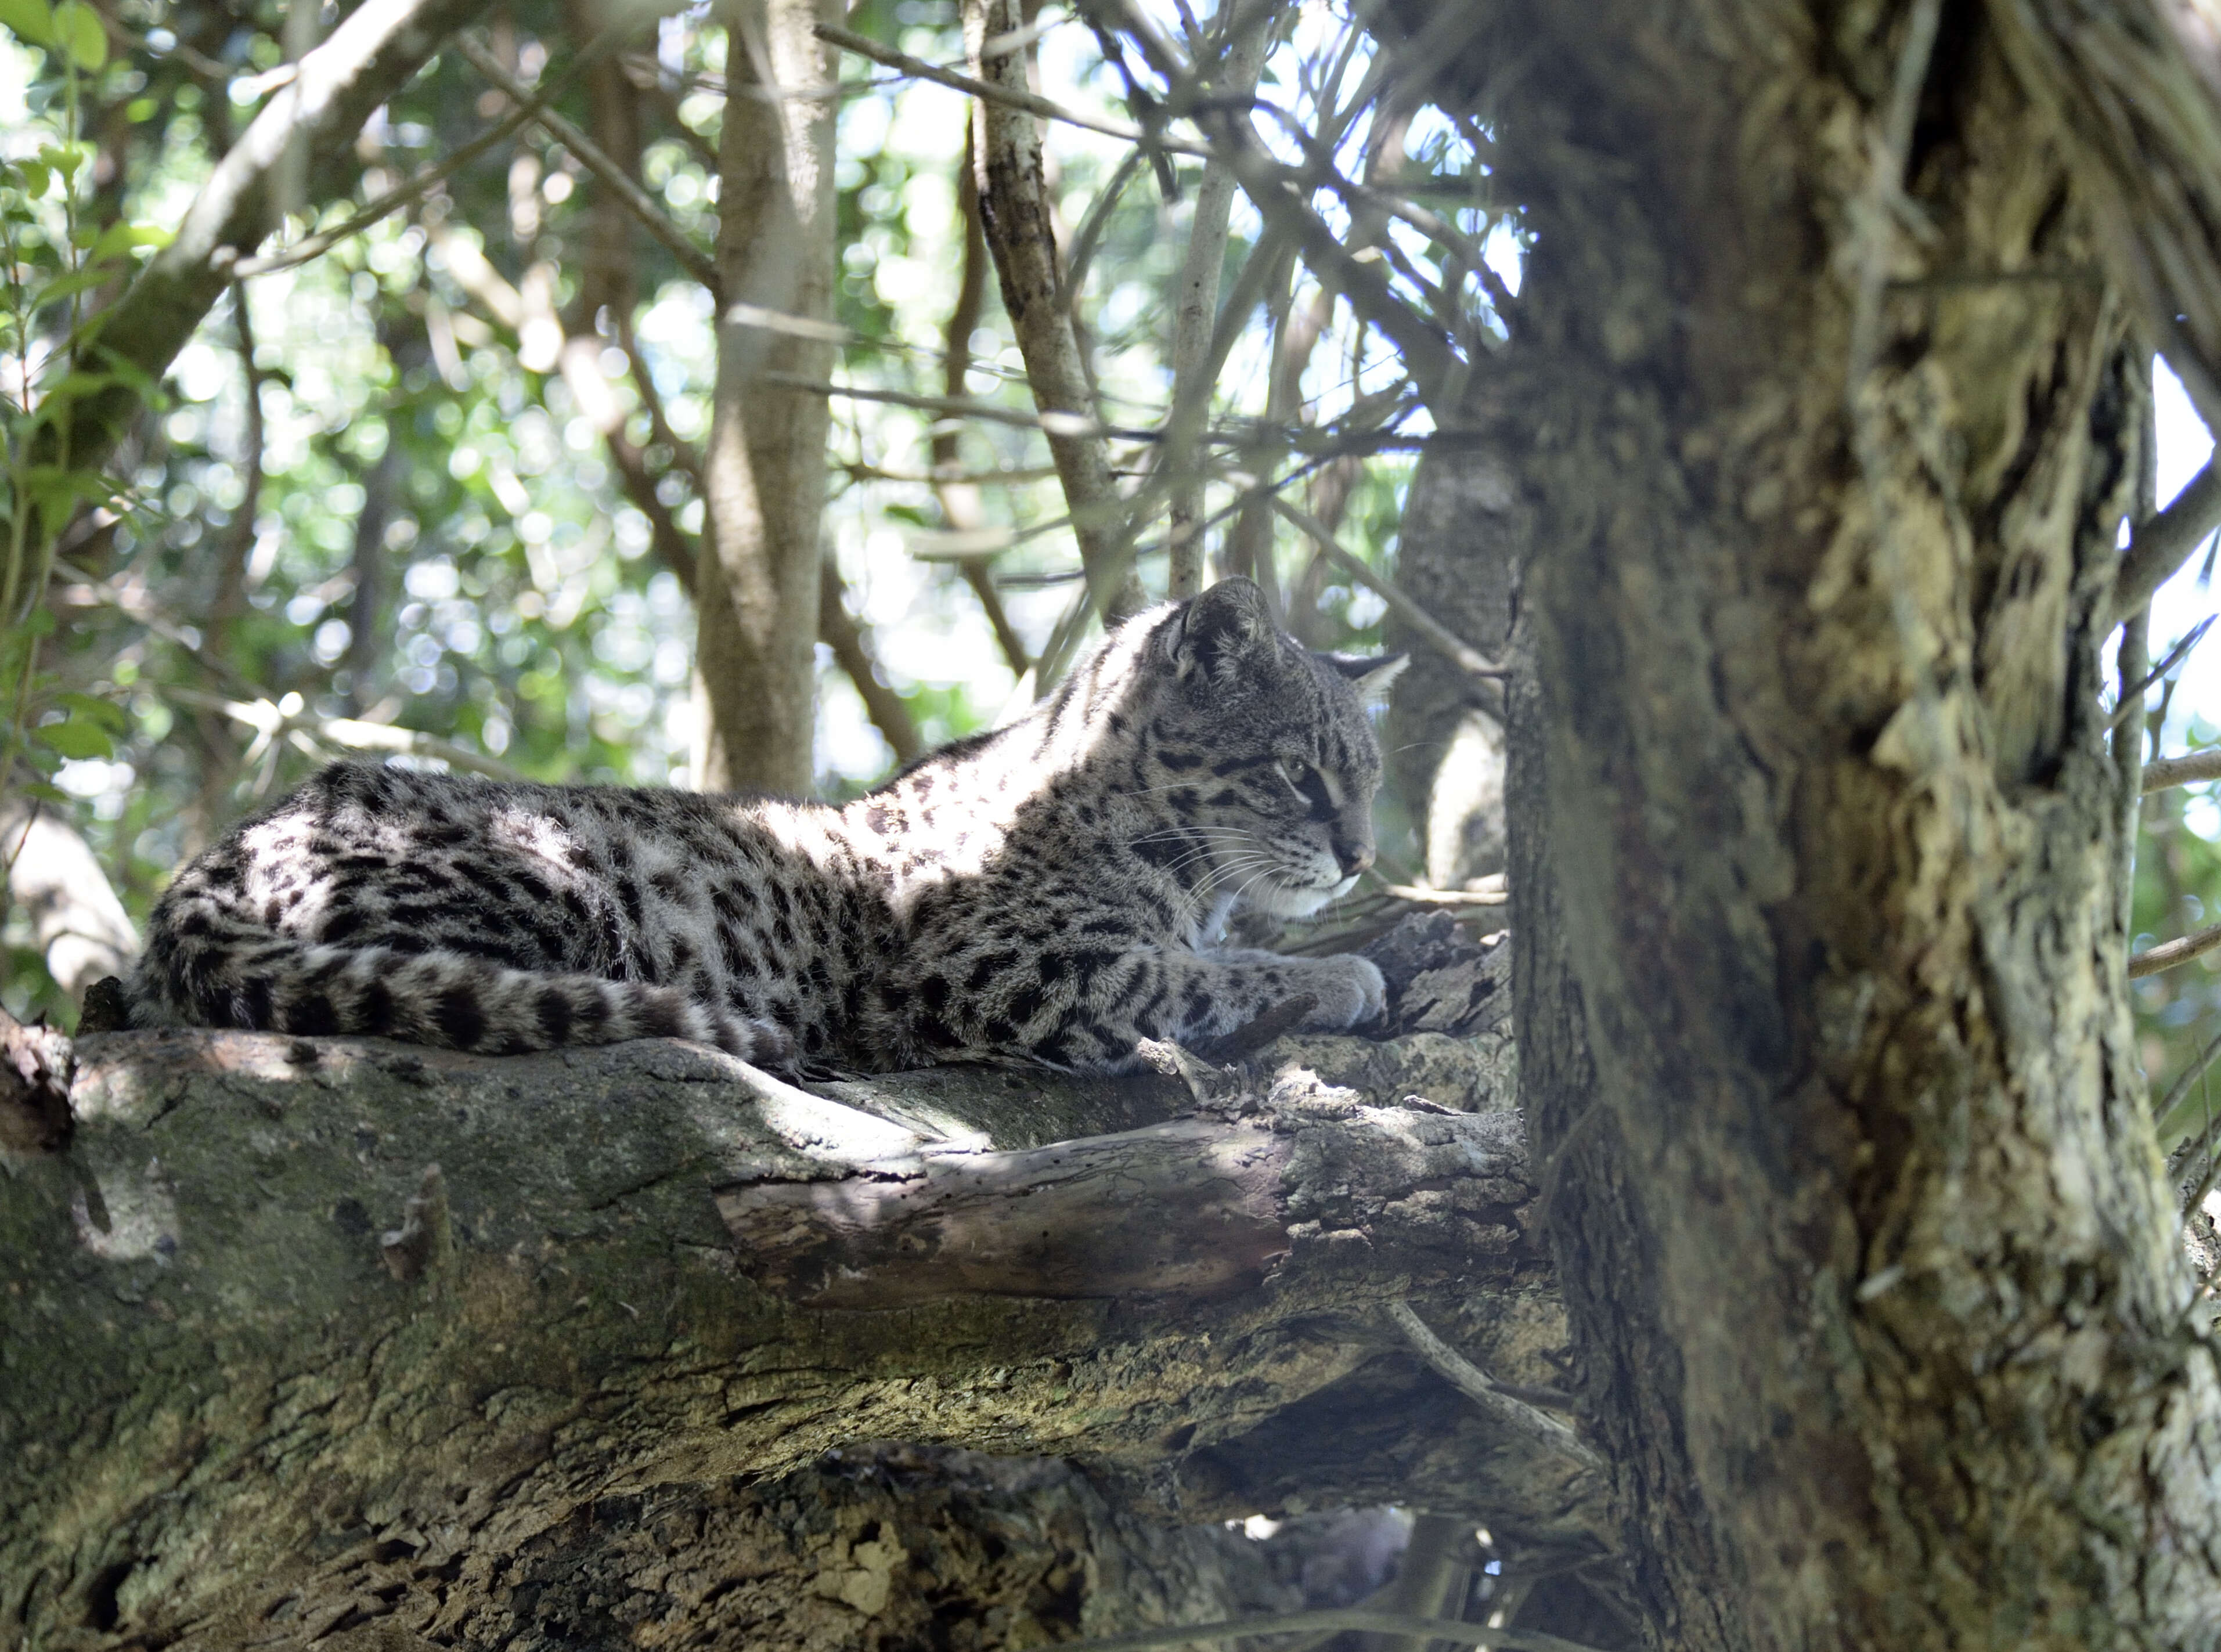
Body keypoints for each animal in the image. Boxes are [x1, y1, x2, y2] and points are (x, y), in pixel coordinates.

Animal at [126, 577, 1404, 1070]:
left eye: (1368, 778)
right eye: (1296, 773)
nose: (1359, 856)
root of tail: (219, 851)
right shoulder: (998, 966)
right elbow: (1189, 976)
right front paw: (1341, 974)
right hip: (556, 894)